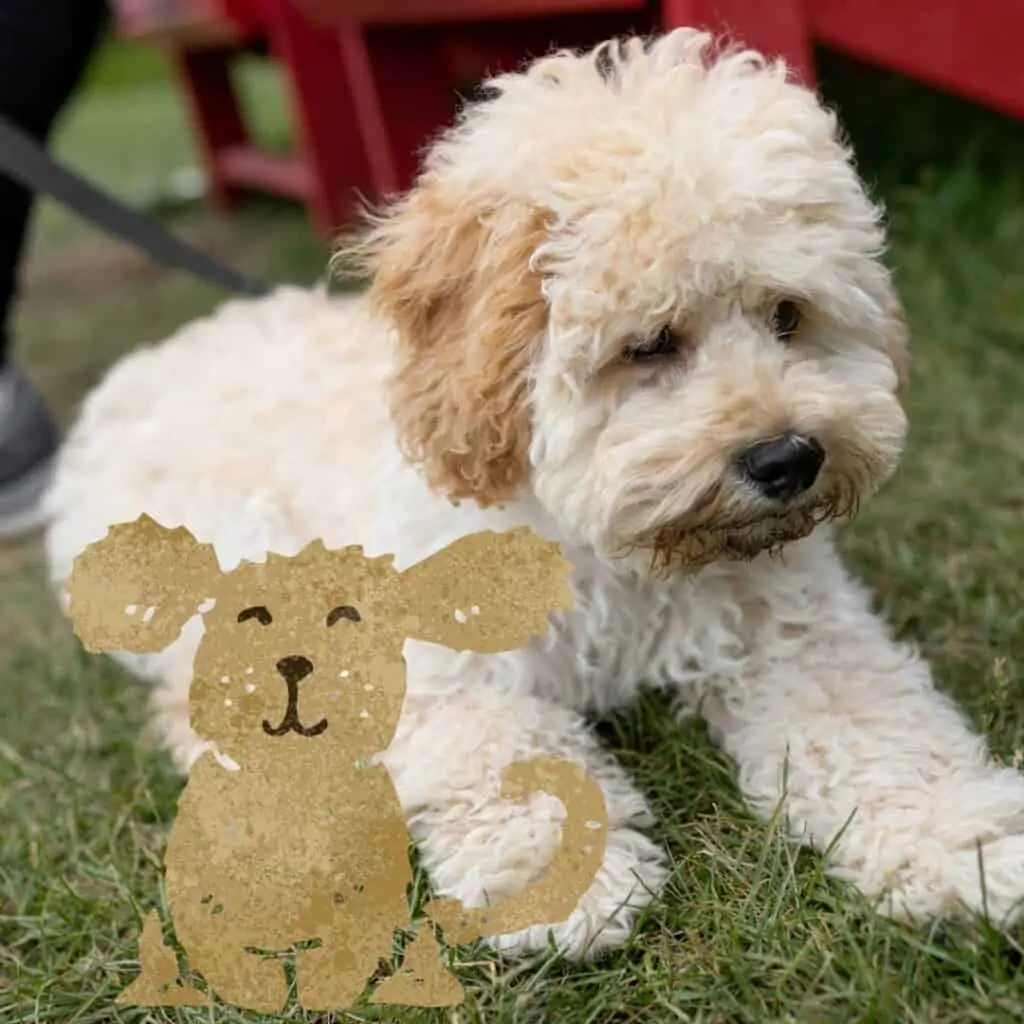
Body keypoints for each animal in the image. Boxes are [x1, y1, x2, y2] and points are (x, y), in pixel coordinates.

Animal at [44, 32, 1024, 958]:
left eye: (787, 315)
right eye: (651, 343)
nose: (788, 458)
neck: (614, 544)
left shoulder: (799, 636)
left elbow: (880, 731)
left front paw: (962, 842)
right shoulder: (438, 661)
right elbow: (503, 750)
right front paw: (555, 880)